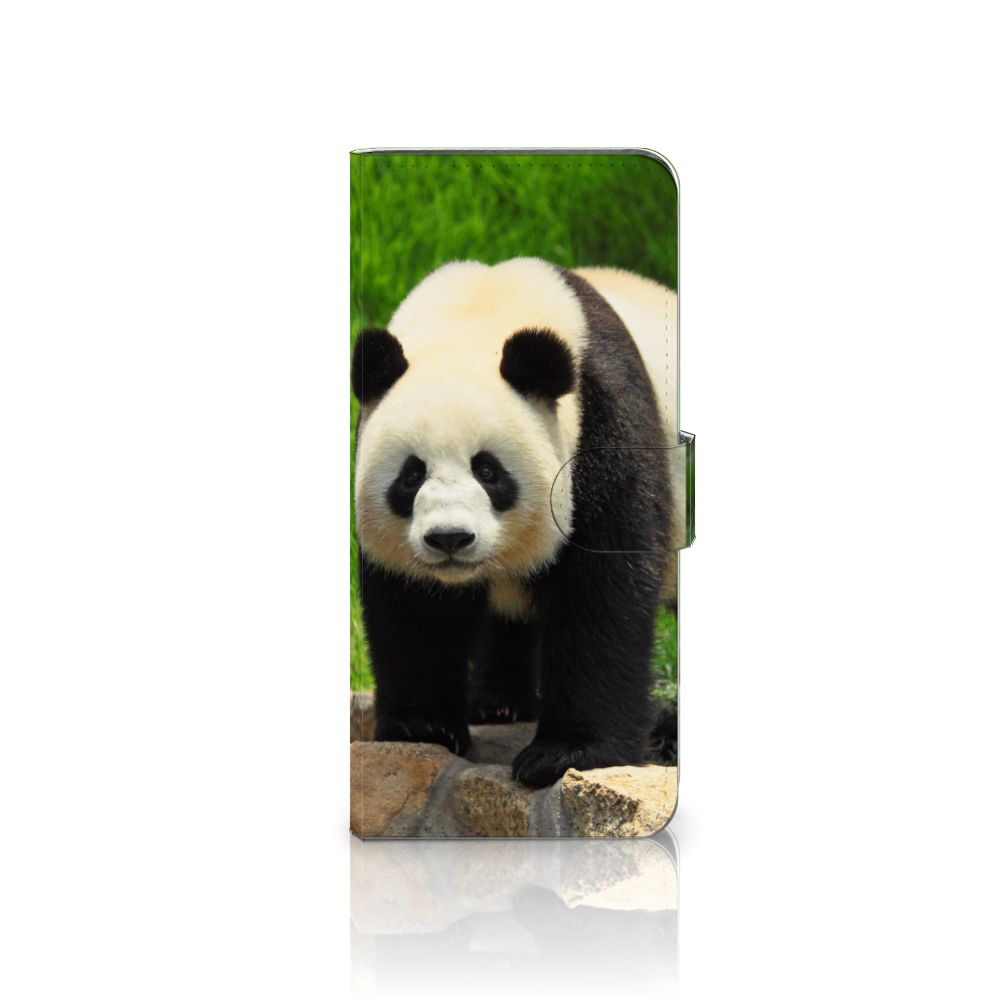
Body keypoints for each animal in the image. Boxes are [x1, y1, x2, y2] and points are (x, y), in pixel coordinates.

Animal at [351, 257, 679, 788]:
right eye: (411, 474)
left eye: (488, 471)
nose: (449, 538)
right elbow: (413, 608)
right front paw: (423, 727)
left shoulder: (603, 424)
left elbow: (602, 592)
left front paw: (565, 753)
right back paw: (499, 703)